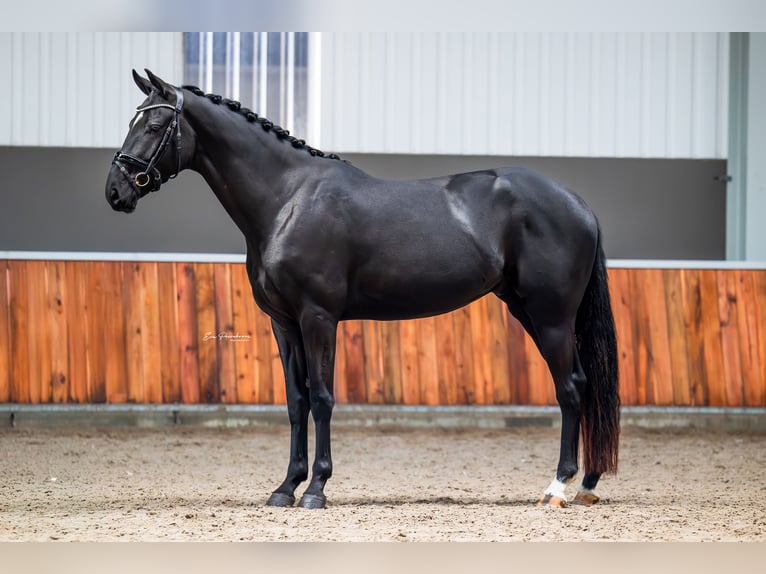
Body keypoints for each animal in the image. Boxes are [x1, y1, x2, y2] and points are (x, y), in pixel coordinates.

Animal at [106, 71, 624, 508]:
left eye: (154, 124)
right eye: (133, 120)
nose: (116, 191)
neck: (288, 198)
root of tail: (577, 204)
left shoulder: (318, 317)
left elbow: (322, 398)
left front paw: (315, 489)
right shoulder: (284, 323)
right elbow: (295, 403)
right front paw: (285, 488)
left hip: (551, 316)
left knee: (570, 388)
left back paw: (557, 488)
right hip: (530, 311)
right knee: (581, 385)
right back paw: (586, 484)